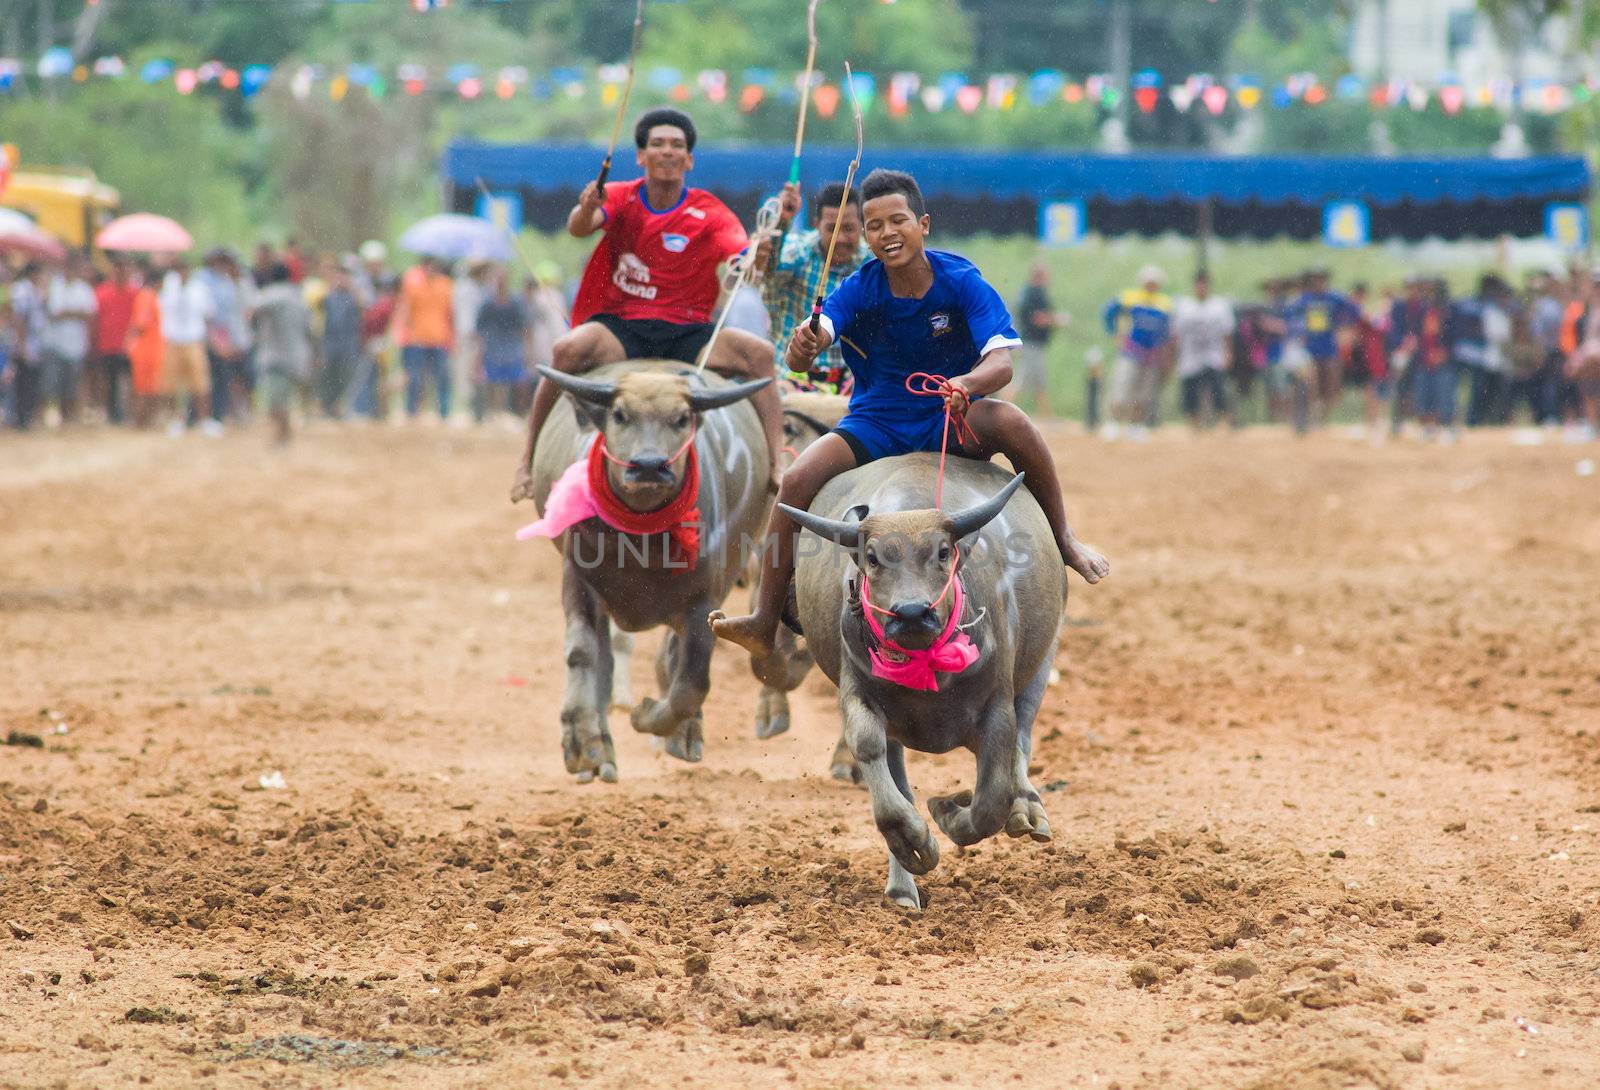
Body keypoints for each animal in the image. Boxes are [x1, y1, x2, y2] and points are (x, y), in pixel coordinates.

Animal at [524, 363, 768, 781]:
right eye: (620, 414)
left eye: (682, 418)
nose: (650, 466)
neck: (641, 541)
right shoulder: (579, 582)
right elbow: (582, 654)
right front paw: (584, 744)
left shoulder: (704, 601)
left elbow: (691, 682)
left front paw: (647, 714)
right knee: (604, 658)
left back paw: (682, 734)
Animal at [777, 454, 1062, 902]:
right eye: (873, 557)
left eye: (943, 552)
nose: (911, 612)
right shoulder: (859, 693)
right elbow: (873, 756)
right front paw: (916, 842)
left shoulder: (997, 705)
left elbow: (990, 800)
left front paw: (947, 810)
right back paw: (901, 887)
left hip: (1044, 658)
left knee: (1024, 736)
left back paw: (1027, 810)